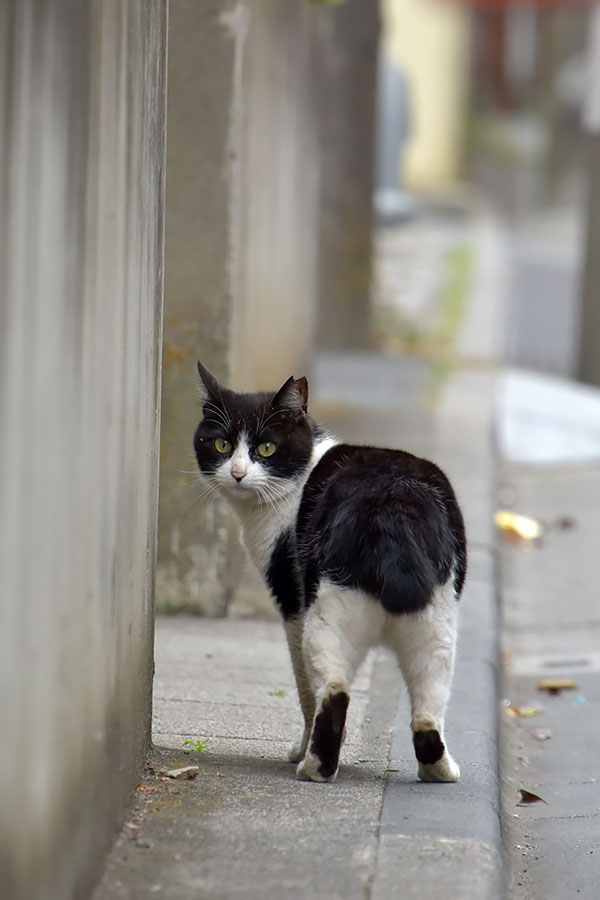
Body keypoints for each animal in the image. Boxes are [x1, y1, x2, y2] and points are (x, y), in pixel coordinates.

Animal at [195, 362, 466, 784]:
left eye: (266, 448)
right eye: (221, 444)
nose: (237, 473)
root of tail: (394, 503)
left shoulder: (292, 603)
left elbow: (305, 690)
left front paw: (298, 748)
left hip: (326, 612)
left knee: (334, 690)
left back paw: (314, 767)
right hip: (437, 621)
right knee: (428, 702)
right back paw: (439, 769)